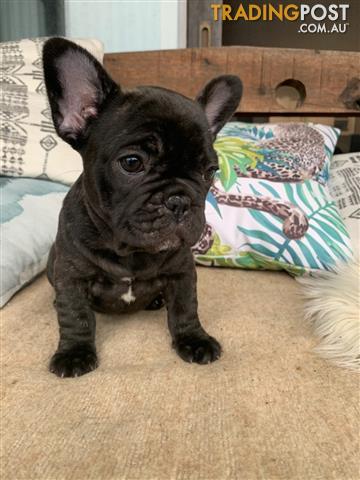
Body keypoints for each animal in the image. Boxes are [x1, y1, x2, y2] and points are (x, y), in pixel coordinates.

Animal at [43, 37, 243, 376]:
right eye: (132, 163)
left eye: (209, 171)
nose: (179, 201)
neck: (130, 252)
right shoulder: (71, 276)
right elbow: (75, 316)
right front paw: (74, 353)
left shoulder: (181, 272)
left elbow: (186, 308)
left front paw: (194, 340)